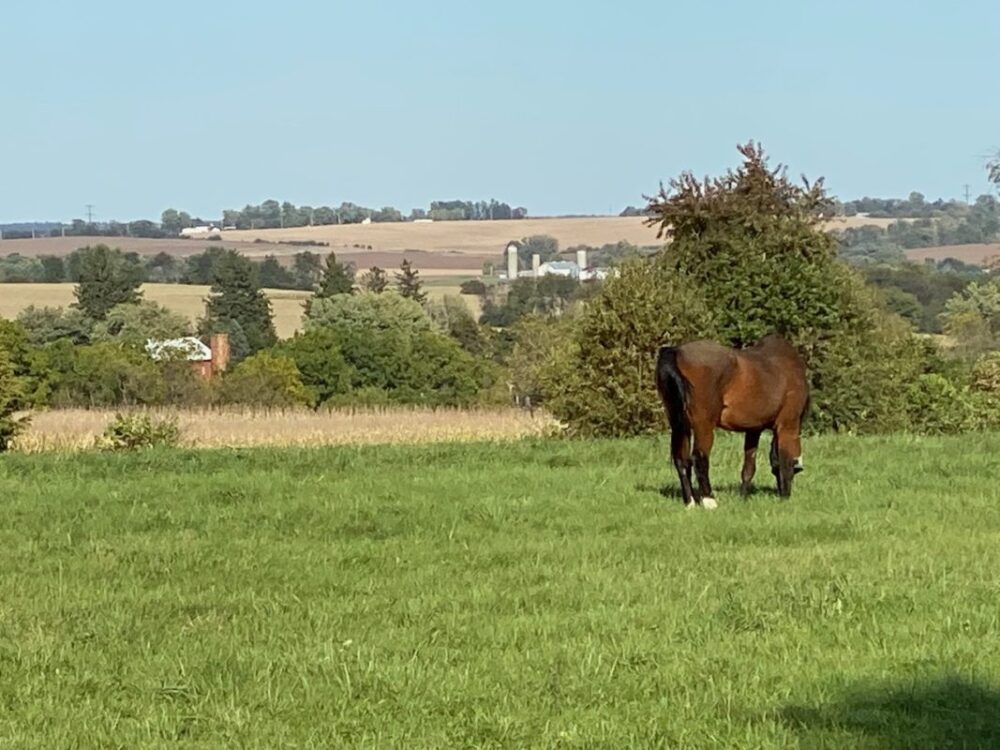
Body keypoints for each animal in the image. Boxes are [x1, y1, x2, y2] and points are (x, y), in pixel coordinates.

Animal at [656, 336, 812, 508]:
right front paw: (784, 497)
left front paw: (743, 497)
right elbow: (784, 459)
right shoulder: (787, 425)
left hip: (679, 425)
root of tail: (676, 351)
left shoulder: (753, 429)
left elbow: (749, 467)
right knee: (699, 458)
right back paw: (709, 501)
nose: (784, 493)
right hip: (703, 426)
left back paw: (690, 503)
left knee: (681, 461)